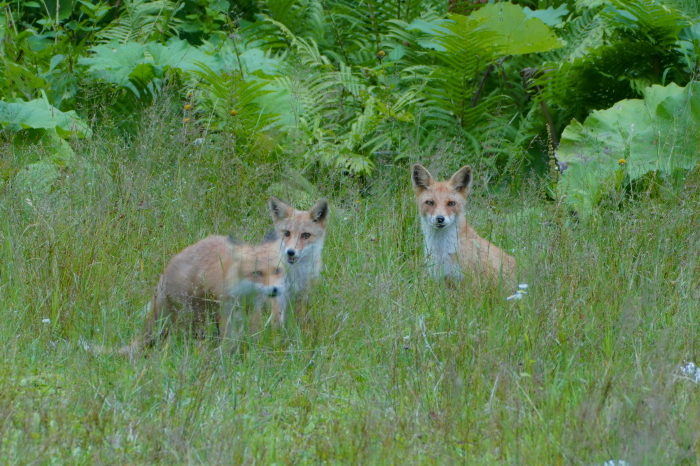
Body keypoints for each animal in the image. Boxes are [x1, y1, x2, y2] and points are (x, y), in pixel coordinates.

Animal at [117, 235, 284, 354]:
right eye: (258, 273)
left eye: (277, 270)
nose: (275, 289)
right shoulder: (227, 307)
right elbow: (229, 337)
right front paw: (227, 354)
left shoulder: (253, 306)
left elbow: (254, 332)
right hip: (193, 314)